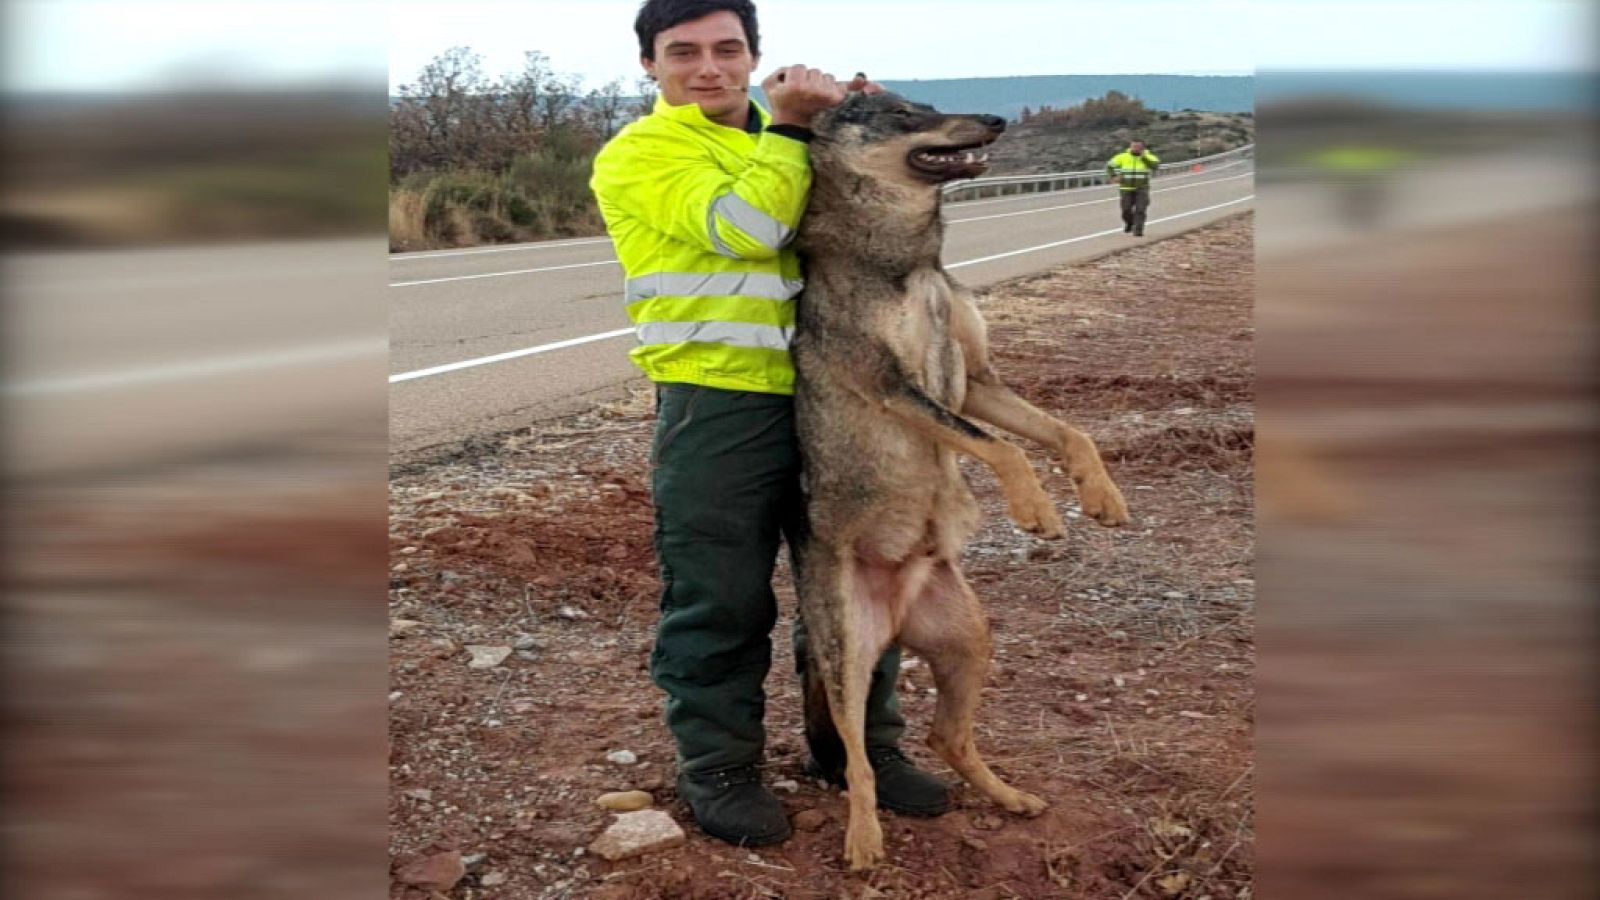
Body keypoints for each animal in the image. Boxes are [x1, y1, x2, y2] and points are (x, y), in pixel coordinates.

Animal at [791, 91, 1131, 870]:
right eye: (901, 110)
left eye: (925, 100)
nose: (997, 120)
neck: (912, 261)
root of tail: (894, 610)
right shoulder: (896, 387)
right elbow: (1000, 448)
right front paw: (1037, 509)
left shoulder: (976, 381)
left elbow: (1064, 433)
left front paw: (1100, 495)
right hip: (847, 659)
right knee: (857, 759)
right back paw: (864, 840)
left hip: (971, 641)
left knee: (946, 737)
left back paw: (1010, 797)